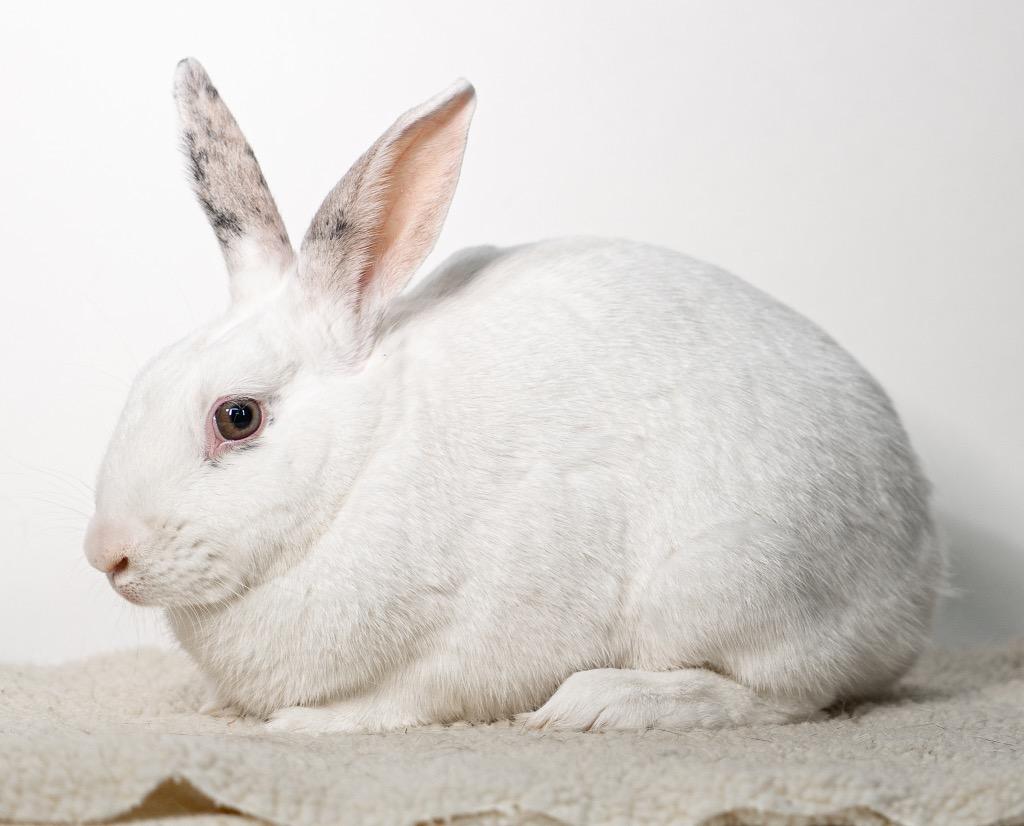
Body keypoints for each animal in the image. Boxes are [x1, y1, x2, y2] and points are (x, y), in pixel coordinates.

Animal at [83, 57, 944, 733]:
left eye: (237, 418)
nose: (106, 554)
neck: (361, 463)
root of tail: (917, 571)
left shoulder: (464, 644)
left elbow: (404, 701)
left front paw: (305, 724)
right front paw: (218, 707)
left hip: (733, 586)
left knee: (784, 696)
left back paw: (599, 704)